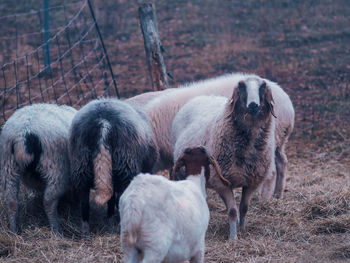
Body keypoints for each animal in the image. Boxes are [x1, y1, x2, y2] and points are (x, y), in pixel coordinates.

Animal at [0, 103, 76, 235]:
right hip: (55, 167)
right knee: (49, 201)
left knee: (11, 201)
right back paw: (57, 231)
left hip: (8, 166)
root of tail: (24, 133)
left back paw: (14, 231)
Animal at [68, 99, 159, 235]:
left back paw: (86, 230)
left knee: (84, 202)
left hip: (80, 166)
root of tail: (103, 123)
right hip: (125, 167)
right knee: (120, 198)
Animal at [172, 77, 276, 240]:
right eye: (242, 86)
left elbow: (244, 207)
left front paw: (242, 229)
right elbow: (232, 211)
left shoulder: (251, 181)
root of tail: (203, 97)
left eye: (263, 86)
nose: (253, 105)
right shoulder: (222, 182)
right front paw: (233, 237)